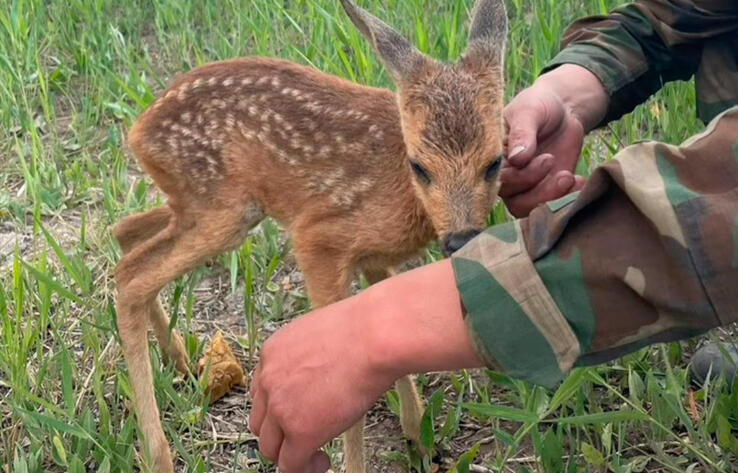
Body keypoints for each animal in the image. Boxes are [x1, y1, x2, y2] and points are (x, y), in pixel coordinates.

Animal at [112, 0, 507, 471]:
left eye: (495, 161)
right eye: (420, 167)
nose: (460, 241)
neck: (400, 190)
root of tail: (138, 131)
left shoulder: (374, 259)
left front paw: (420, 440)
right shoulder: (319, 239)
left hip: (204, 206)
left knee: (124, 236)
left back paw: (181, 359)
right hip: (222, 211)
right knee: (131, 277)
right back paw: (160, 454)